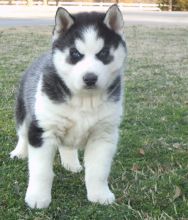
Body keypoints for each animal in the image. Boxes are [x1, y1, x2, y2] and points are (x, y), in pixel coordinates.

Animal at [10, 4, 128, 208]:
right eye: (75, 54)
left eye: (103, 53)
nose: (90, 78)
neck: (84, 100)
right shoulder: (42, 130)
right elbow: (41, 171)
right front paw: (38, 197)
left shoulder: (103, 135)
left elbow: (99, 171)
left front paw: (99, 194)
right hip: (24, 111)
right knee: (23, 134)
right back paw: (19, 152)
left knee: (67, 145)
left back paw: (71, 163)